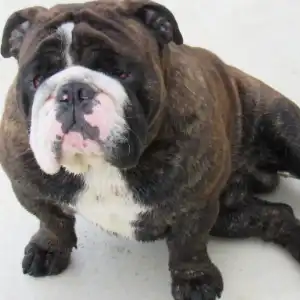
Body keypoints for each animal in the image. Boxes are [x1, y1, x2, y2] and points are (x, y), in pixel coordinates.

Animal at [0, 0, 300, 298]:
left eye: (121, 73)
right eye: (37, 79)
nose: (74, 90)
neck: (99, 166)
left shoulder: (196, 206)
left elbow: (188, 245)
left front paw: (194, 280)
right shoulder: (29, 190)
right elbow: (53, 221)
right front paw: (48, 248)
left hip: (283, 131)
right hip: (228, 218)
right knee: (278, 214)